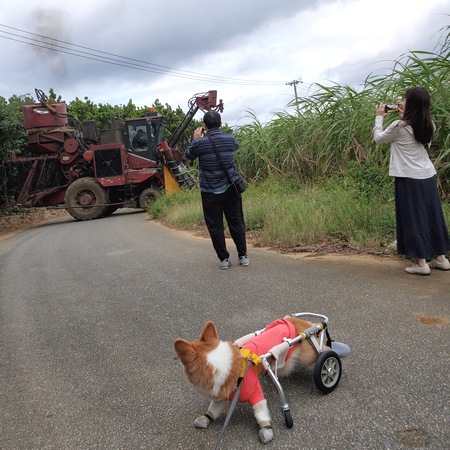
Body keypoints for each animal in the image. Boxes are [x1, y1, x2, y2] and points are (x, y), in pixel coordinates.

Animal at [174, 316, 328, 444]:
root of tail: (295, 319)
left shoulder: (256, 394)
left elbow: (261, 413)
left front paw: (266, 430)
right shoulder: (223, 397)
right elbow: (212, 410)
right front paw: (206, 418)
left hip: (308, 354)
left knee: (323, 350)